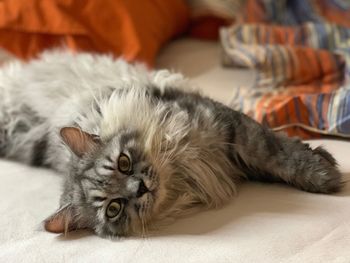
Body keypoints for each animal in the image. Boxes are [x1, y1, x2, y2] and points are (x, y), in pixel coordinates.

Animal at [0, 50, 344, 238]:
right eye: (114, 208)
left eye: (124, 162)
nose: (140, 188)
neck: (181, 171)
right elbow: (271, 158)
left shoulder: (226, 126)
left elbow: (276, 152)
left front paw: (323, 174)